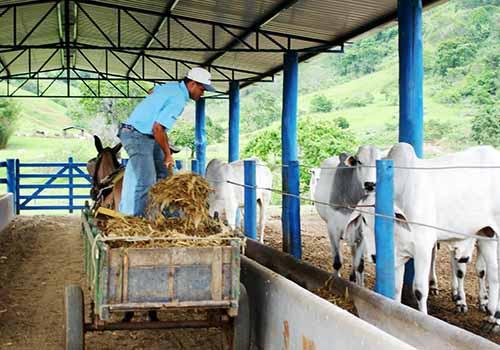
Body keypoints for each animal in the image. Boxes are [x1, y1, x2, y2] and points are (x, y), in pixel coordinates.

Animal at [348, 143, 500, 326]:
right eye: (363, 219)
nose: (374, 256)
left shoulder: (423, 248)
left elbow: (420, 290)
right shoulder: (398, 254)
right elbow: (396, 289)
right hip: (486, 234)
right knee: (493, 272)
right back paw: (492, 314)